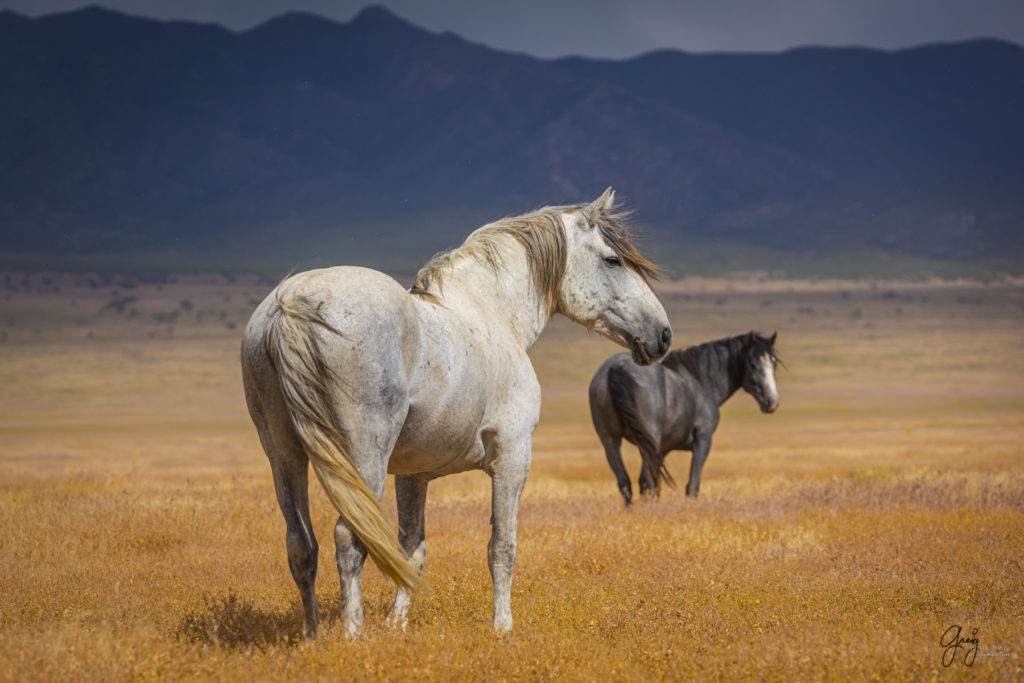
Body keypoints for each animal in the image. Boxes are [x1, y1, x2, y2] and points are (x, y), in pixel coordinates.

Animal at [239, 187, 671, 634]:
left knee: (301, 544)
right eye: (612, 260)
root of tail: (292, 302)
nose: (662, 335)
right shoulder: (513, 457)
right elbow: (502, 547)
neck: (492, 314)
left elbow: (412, 550)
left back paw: (314, 635)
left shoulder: (412, 475)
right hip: (363, 458)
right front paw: (502, 627)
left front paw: (397, 625)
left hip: (284, 455)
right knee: (349, 537)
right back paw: (353, 634)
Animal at [589, 333, 778, 505]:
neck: (701, 380)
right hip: (647, 442)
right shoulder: (702, 441)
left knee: (626, 482)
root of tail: (617, 367)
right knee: (647, 480)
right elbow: (692, 485)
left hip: (611, 441)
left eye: (774, 364)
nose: (773, 402)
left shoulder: (663, 449)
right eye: (753, 365)